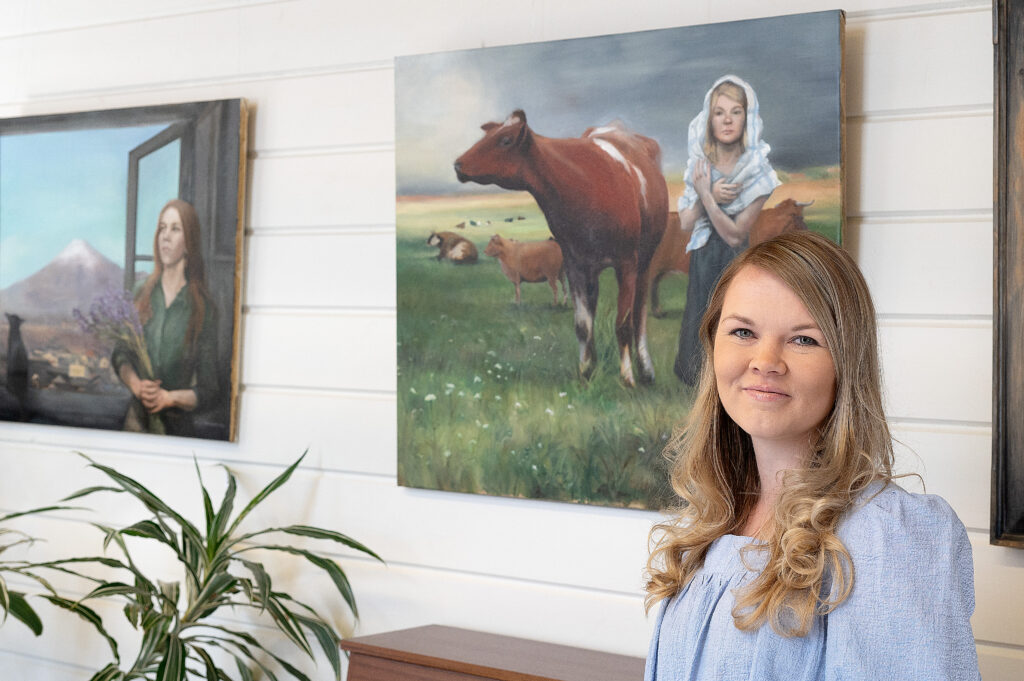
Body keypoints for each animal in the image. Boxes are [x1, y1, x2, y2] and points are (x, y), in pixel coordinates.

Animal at [454, 109, 663, 385]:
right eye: (486, 135)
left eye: (505, 140)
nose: (457, 165)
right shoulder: (574, 262)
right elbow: (582, 325)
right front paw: (586, 373)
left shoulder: (627, 262)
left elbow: (623, 323)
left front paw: (627, 378)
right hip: (592, 268)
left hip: (646, 260)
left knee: (639, 313)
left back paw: (646, 370)